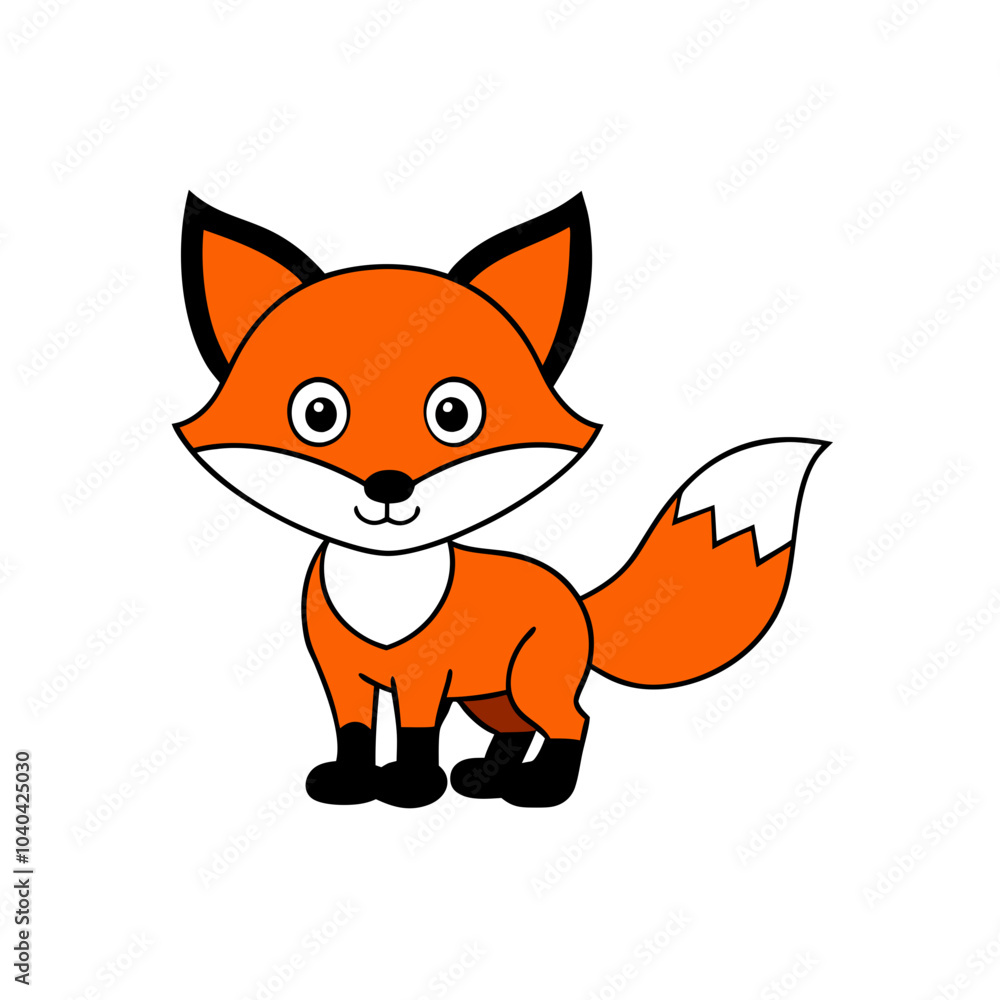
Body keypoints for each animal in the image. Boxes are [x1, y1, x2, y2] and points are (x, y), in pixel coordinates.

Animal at [175, 191, 826, 808]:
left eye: (453, 414)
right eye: (318, 414)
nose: (388, 484)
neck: (385, 587)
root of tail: (577, 599)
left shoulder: (424, 677)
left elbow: (415, 736)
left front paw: (412, 787)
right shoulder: (342, 676)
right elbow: (354, 733)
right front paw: (352, 783)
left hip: (533, 680)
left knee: (572, 721)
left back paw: (543, 788)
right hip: (492, 693)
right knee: (518, 728)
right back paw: (486, 779)